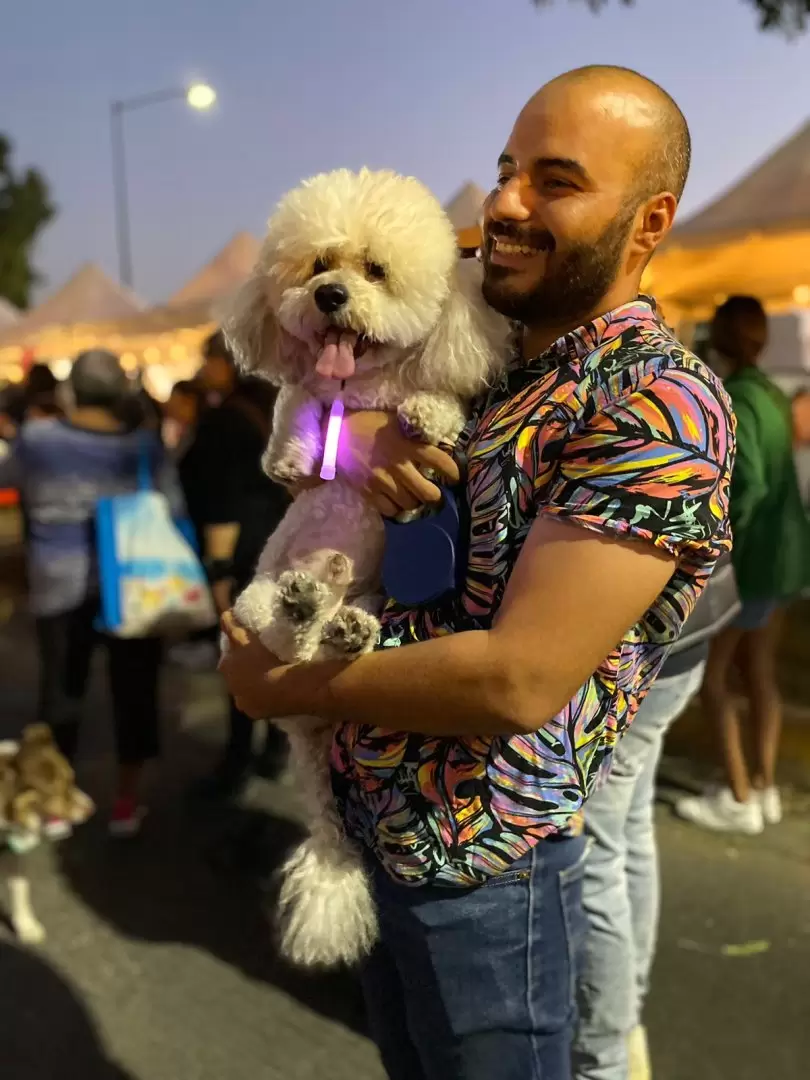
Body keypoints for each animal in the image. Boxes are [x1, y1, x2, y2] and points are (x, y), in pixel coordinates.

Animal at [1, 725, 94, 946]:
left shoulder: (11, 853)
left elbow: (20, 890)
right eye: (63, 788)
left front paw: (26, 927)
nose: (92, 809)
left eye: (72, 780)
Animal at [222, 168, 507, 972]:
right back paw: (310, 601)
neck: (363, 391)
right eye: (318, 265)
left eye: (375, 270)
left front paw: (429, 413)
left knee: (333, 640)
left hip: (375, 598)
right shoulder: (302, 413)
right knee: (287, 637)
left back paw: (339, 620)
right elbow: (295, 408)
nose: (329, 296)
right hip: (252, 605)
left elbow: (438, 403)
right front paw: (297, 441)